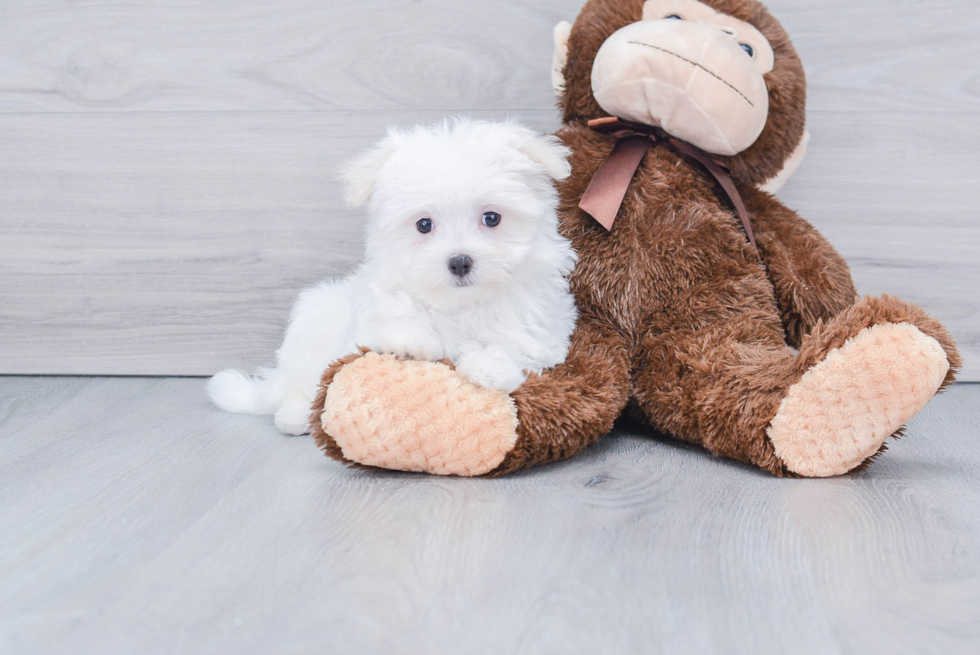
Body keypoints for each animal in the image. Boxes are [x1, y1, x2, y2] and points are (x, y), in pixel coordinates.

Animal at [207, 118, 576, 436]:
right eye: (424, 224)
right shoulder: (369, 320)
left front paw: (490, 366)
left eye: (491, 218)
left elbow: (514, 348)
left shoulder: (542, 335)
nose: (459, 262)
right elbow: (389, 327)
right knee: (295, 387)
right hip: (312, 321)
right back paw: (296, 415)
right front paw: (408, 343)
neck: (457, 304)